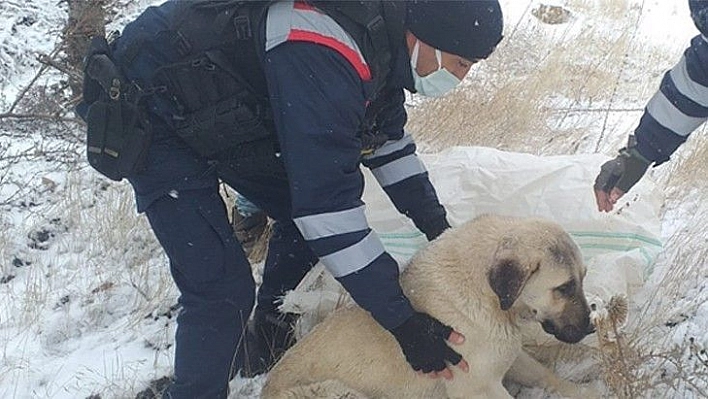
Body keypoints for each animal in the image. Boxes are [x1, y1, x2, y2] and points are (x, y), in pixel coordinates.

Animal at [262, 216, 596, 399]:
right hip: (339, 391)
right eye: (564, 288)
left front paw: (586, 392)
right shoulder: (477, 387)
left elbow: (546, 377)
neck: (486, 296)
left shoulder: (508, 358)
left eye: (582, 278)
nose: (591, 326)